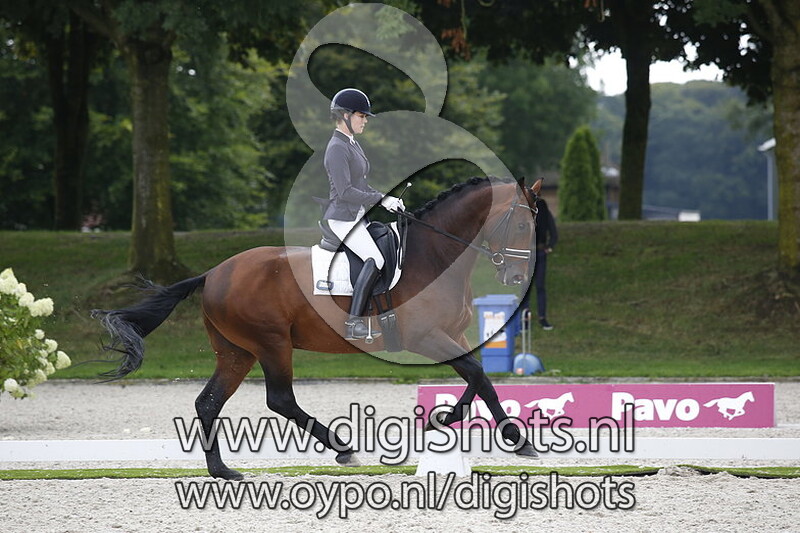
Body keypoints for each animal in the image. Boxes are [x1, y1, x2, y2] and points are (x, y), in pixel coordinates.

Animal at [93, 176, 542, 480]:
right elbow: (478, 374)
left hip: (237, 351)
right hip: (271, 344)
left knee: (209, 402)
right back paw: (343, 449)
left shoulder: (455, 335)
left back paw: (223, 471)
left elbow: (480, 379)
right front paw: (481, 430)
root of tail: (214, 273)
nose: (518, 278)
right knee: (280, 399)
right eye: (522, 225)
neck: (434, 255)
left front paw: (467, 425)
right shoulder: (426, 337)